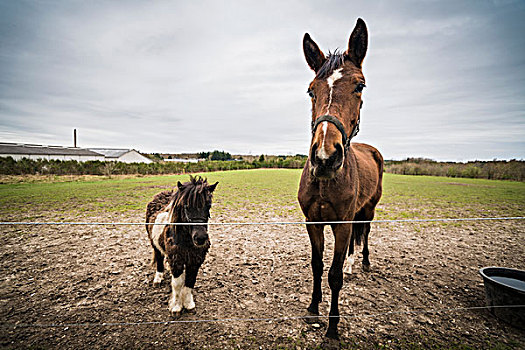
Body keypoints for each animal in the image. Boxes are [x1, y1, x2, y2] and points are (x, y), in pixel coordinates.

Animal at [144, 176, 218, 316]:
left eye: (209, 205)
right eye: (186, 206)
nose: (200, 238)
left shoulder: (194, 261)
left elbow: (189, 282)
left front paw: (188, 305)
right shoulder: (176, 260)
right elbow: (177, 284)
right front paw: (176, 307)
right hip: (154, 243)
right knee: (159, 259)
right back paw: (158, 279)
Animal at [296, 19, 382, 340]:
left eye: (360, 85)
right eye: (311, 91)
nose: (324, 156)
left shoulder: (342, 224)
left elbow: (333, 275)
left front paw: (333, 326)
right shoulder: (313, 222)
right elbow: (317, 265)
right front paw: (312, 307)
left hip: (368, 209)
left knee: (365, 232)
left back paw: (363, 262)